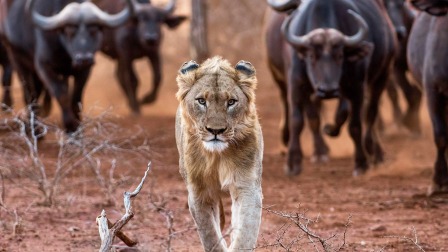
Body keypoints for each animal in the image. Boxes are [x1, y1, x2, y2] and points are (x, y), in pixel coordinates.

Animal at [175, 56, 264, 251]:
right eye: (201, 101)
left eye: (231, 102)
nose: (216, 130)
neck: (217, 156)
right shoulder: (199, 192)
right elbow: (210, 235)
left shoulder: (247, 186)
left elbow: (245, 233)